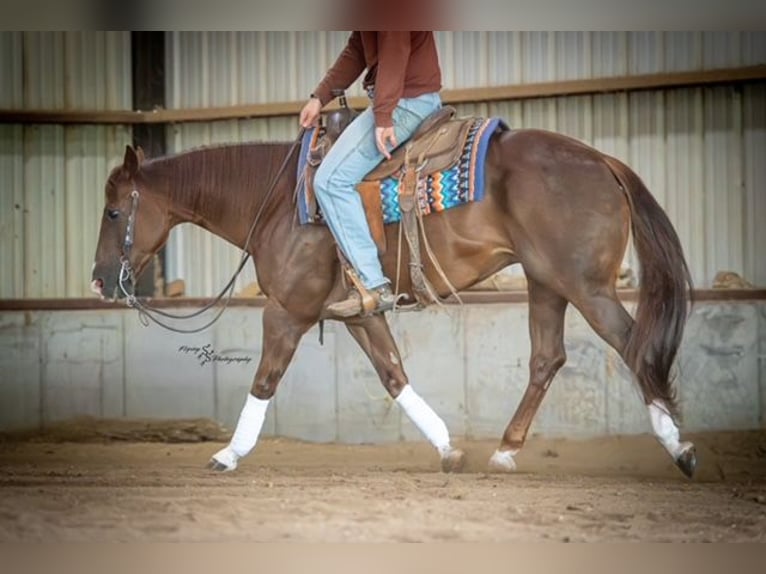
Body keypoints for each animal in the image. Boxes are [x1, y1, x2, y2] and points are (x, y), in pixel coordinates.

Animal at [90, 122, 696, 478]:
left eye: (115, 211)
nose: (98, 282)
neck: (279, 202)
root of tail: (602, 160)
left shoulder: (287, 311)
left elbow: (264, 380)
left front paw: (228, 454)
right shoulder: (358, 312)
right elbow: (393, 374)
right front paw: (449, 449)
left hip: (585, 286)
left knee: (633, 347)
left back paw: (680, 449)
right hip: (546, 283)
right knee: (547, 359)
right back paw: (504, 451)